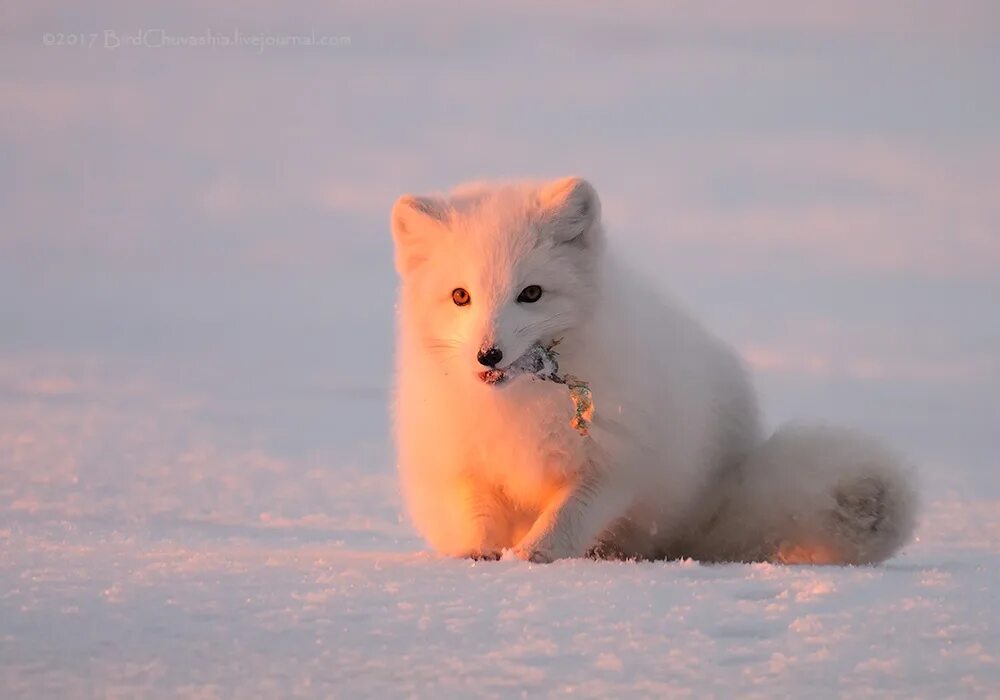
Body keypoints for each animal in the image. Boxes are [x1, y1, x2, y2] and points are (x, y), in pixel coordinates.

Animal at [386, 178, 916, 568]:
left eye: (531, 293)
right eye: (460, 296)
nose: (488, 355)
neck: (519, 405)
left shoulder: (614, 464)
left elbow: (567, 518)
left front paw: (533, 555)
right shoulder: (460, 464)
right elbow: (476, 515)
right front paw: (478, 555)